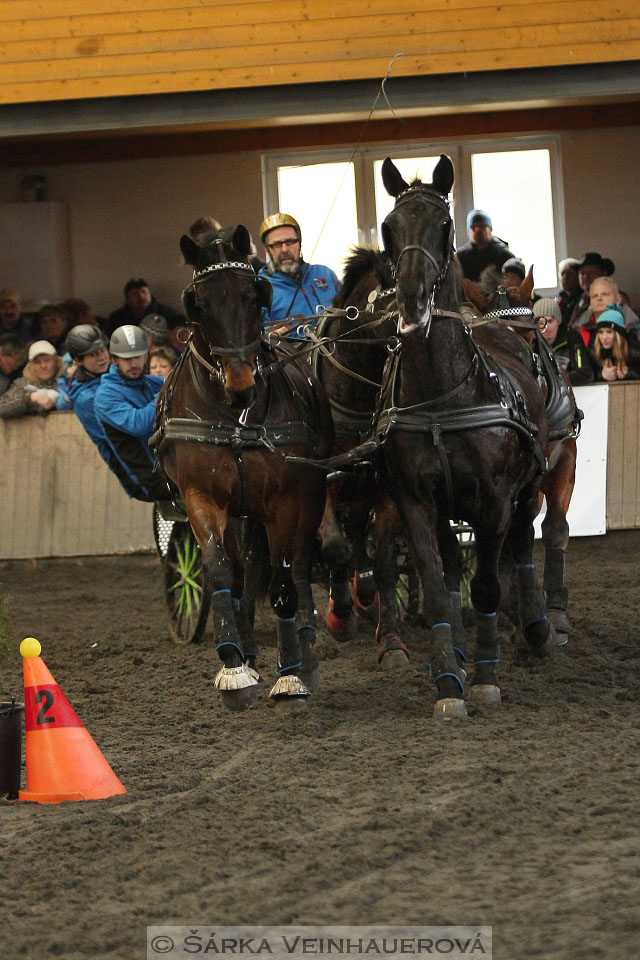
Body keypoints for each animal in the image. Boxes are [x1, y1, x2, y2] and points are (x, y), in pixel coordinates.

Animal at [153, 225, 336, 712]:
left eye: (255, 294)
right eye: (197, 303)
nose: (241, 385)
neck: (236, 416)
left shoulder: (287, 499)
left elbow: (283, 581)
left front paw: (291, 676)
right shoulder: (202, 496)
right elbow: (219, 571)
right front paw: (234, 667)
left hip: (305, 496)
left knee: (293, 566)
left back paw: (305, 644)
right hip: (239, 509)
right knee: (241, 572)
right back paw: (250, 651)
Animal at [376, 154, 556, 716]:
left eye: (443, 225)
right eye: (389, 228)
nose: (412, 300)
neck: (443, 397)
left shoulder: (495, 501)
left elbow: (489, 586)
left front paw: (484, 676)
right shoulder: (414, 499)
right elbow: (438, 585)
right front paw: (448, 679)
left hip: (529, 487)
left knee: (521, 547)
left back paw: (536, 628)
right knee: (453, 566)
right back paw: (453, 648)